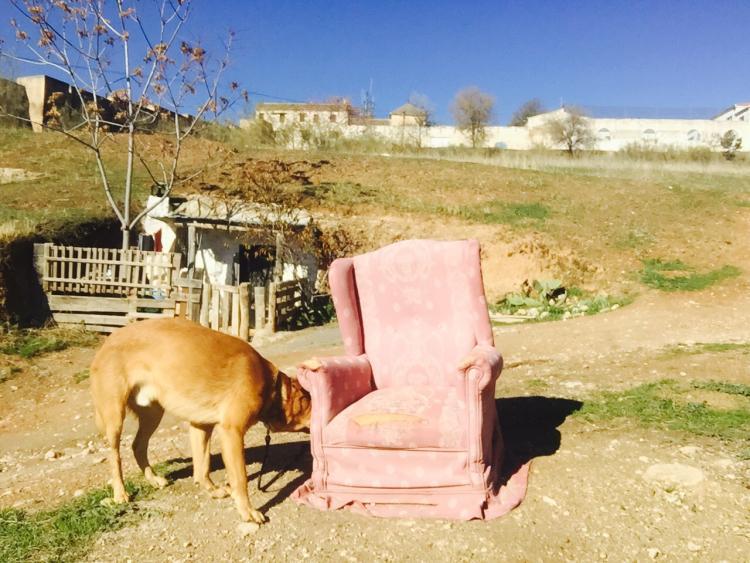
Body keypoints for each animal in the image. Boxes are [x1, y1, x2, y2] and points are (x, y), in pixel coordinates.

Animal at [91, 318, 312, 524]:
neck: (272, 387)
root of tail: (108, 340)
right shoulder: (232, 432)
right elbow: (240, 479)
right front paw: (247, 511)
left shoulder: (200, 426)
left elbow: (202, 465)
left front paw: (211, 490)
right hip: (115, 417)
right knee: (114, 456)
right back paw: (120, 493)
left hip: (153, 414)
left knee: (138, 445)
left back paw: (152, 479)